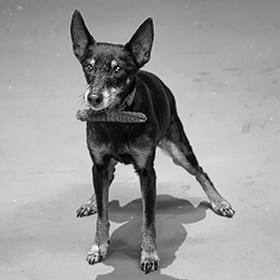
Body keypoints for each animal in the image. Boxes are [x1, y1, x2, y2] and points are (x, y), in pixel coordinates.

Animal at [69, 9, 234, 274]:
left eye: (118, 69)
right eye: (88, 66)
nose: (93, 98)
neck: (117, 119)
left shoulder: (147, 172)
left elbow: (148, 219)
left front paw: (149, 254)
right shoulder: (99, 164)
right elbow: (103, 215)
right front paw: (98, 246)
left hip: (178, 149)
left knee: (200, 172)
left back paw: (219, 202)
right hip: (106, 166)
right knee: (107, 182)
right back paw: (91, 201)